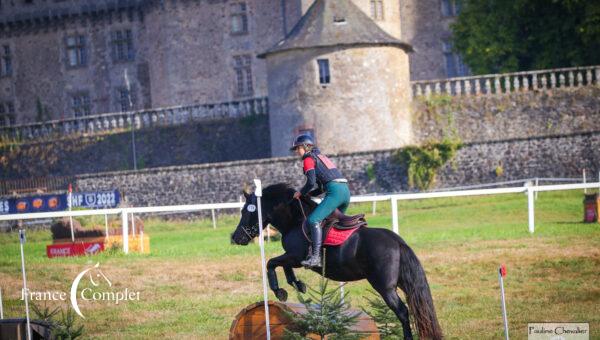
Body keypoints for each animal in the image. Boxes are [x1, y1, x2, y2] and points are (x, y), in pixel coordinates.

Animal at [230, 185, 440, 338]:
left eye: (245, 211)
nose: (236, 237)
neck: (294, 220)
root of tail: (397, 242)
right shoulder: (293, 258)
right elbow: (283, 267)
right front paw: (297, 284)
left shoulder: (296, 257)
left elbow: (271, 263)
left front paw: (280, 291)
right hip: (403, 283)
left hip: (385, 287)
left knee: (403, 312)